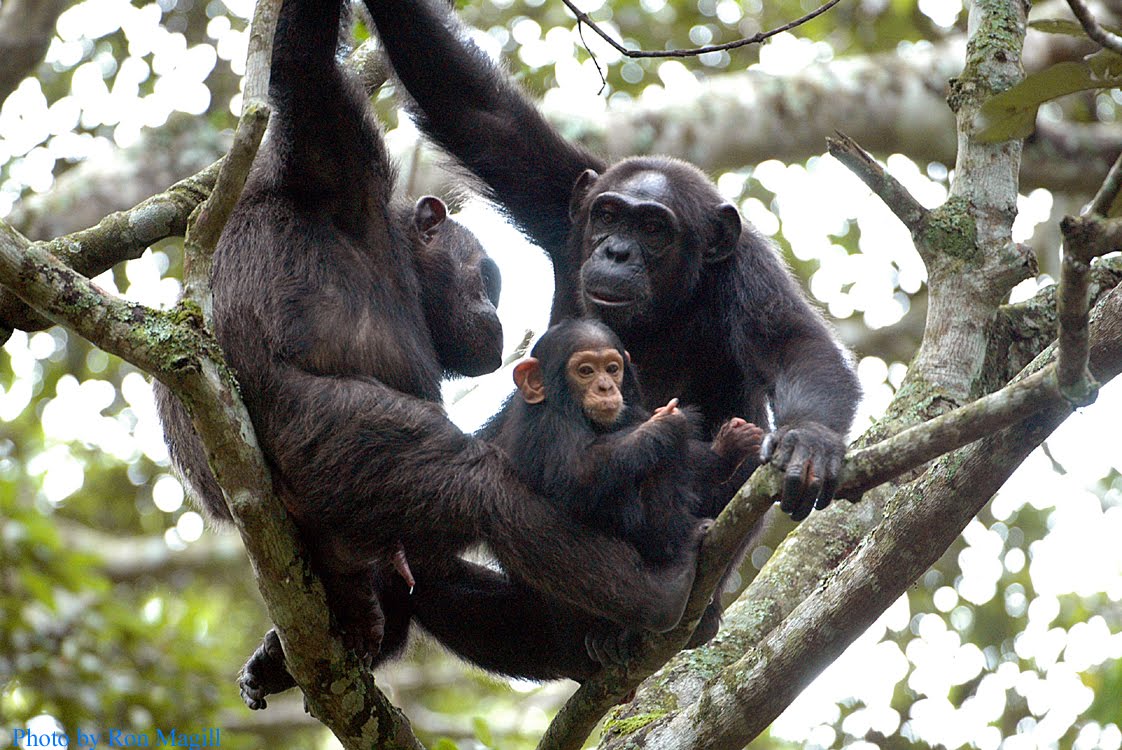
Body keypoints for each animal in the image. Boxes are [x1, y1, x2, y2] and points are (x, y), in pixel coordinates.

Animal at [188, 0, 709, 709]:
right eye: (484, 278)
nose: (494, 315)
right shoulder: (344, 164)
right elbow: (305, 69)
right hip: (330, 438)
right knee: (485, 491)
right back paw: (657, 595)